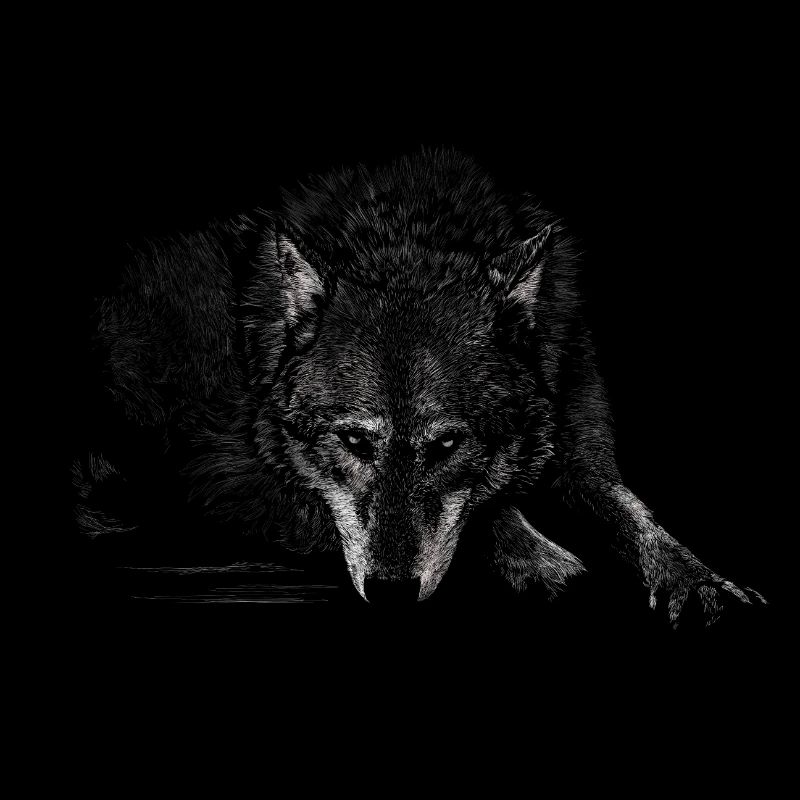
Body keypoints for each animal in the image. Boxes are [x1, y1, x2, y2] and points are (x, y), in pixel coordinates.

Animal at [73, 148, 765, 623]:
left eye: (447, 446)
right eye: (354, 442)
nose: (390, 593)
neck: (409, 235)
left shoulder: (584, 461)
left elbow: (637, 516)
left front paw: (699, 580)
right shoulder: (225, 473)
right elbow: (492, 511)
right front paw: (544, 560)